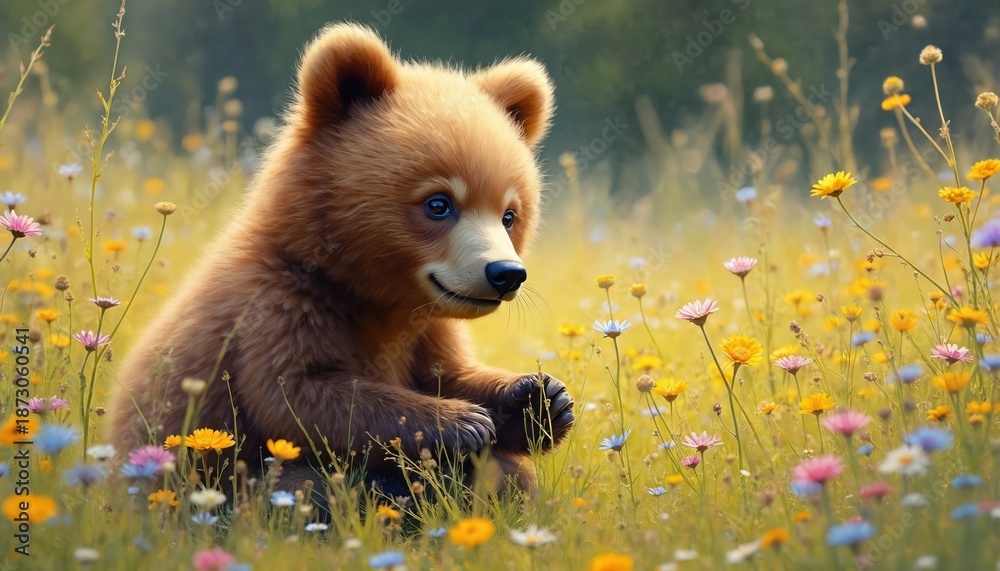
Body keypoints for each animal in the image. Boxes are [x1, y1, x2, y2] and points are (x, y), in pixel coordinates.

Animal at [107, 23, 574, 498]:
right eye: (439, 204)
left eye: (509, 214)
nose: (505, 274)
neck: (370, 293)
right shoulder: (275, 307)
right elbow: (299, 396)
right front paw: (462, 421)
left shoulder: (425, 328)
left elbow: (449, 372)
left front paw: (541, 398)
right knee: (308, 486)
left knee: (504, 474)